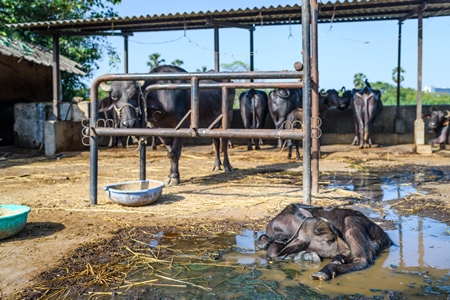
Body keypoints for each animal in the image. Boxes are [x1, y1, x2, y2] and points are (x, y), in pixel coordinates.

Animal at [98, 65, 236, 185]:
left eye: (135, 95)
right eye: (114, 97)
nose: (129, 123)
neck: (162, 99)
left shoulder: (182, 127)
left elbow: (175, 153)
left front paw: (174, 177)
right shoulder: (160, 129)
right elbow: (170, 152)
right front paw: (171, 175)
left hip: (227, 118)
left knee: (224, 142)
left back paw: (227, 166)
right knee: (216, 142)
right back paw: (216, 165)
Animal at [258, 204, 392, 282]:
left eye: (338, 233)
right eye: (329, 240)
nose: (348, 250)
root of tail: (385, 237)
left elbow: (273, 249)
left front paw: (307, 255)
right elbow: (267, 244)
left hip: (351, 221)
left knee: (362, 260)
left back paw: (324, 271)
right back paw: (338, 259)